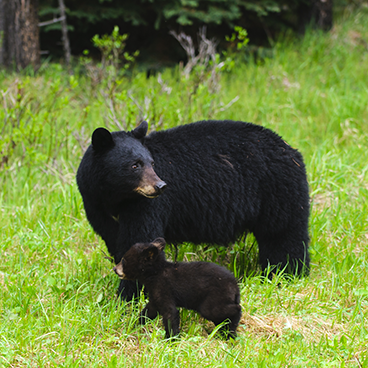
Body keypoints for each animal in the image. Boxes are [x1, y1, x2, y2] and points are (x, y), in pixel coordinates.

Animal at [76, 119, 310, 300]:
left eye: (152, 162)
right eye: (135, 165)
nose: (160, 186)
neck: (115, 197)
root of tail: (290, 149)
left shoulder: (145, 206)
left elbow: (140, 239)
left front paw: (129, 295)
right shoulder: (96, 206)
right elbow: (116, 242)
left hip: (277, 190)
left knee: (283, 235)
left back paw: (287, 273)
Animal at [113, 239, 243, 340]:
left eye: (124, 260)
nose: (114, 269)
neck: (155, 274)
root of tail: (235, 286)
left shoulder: (164, 288)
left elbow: (170, 313)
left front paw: (171, 340)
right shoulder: (155, 294)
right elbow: (149, 311)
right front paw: (133, 325)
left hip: (214, 298)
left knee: (228, 309)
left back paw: (231, 330)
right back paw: (225, 332)